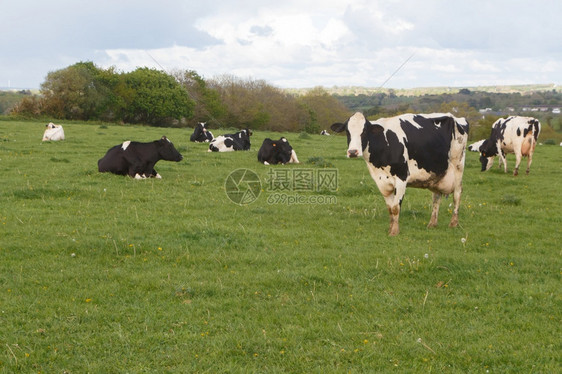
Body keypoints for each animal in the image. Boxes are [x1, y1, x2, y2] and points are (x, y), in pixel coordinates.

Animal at [330, 110, 466, 237]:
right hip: (437, 174)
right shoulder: (381, 182)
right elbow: (390, 209)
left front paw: (394, 231)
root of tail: (455, 117)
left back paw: (453, 223)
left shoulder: (401, 178)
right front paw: (390, 229)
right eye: (348, 132)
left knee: (457, 195)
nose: (353, 152)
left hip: (458, 167)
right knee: (436, 198)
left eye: (364, 132)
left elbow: (395, 208)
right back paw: (432, 224)